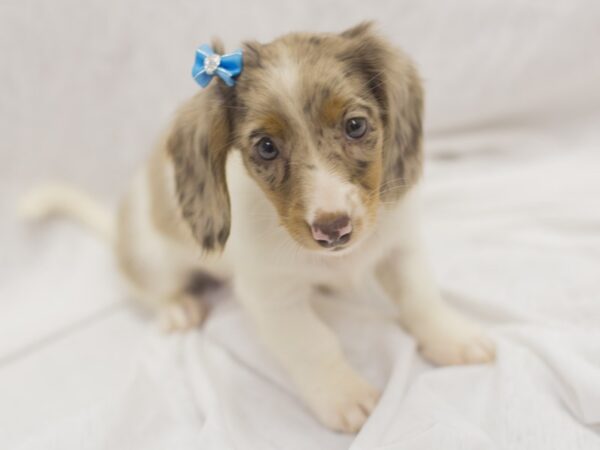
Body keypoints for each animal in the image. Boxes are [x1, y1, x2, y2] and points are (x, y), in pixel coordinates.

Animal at [21, 23, 494, 432]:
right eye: (266, 147)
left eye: (356, 125)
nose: (333, 230)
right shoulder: (272, 296)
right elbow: (314, 343)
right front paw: (343, 395)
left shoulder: (399, 246)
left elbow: (420, 298)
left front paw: (452, 337)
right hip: (154, 258)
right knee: (142, 285)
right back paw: (177, 306)